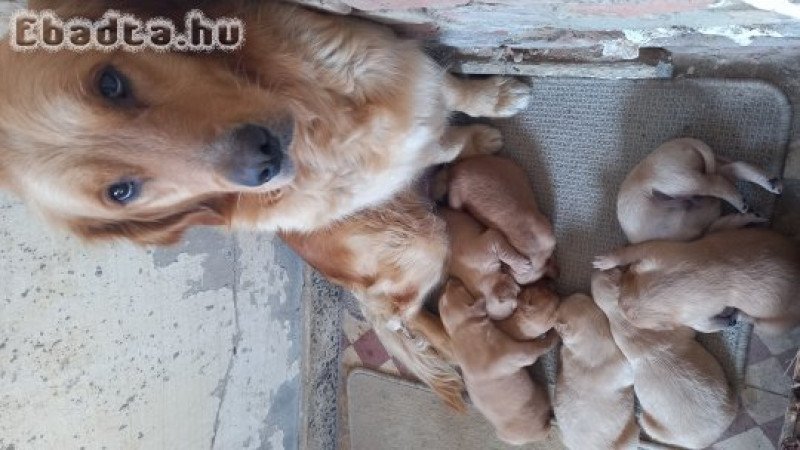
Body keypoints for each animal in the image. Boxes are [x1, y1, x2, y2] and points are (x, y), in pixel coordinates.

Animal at [438, 280, 556, 444]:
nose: (449, 281)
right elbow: (539, 346)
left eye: (444, 294)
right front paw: (552, 336)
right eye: (460, 289)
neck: (461, 328)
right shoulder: (521, 352)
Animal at [592, 229, 800, 334]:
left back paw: (740, 316)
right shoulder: (656, 252)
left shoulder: (694, 319)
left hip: (776, 326)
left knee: (756, 323)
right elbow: (630, 252)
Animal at [620, 137, 780, 244]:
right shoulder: (707, 229)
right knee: (734, 169)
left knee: (716, 183)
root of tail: (686, 142)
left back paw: (741, 202)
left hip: (678, 180)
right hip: (698, 186)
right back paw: (768, 186)